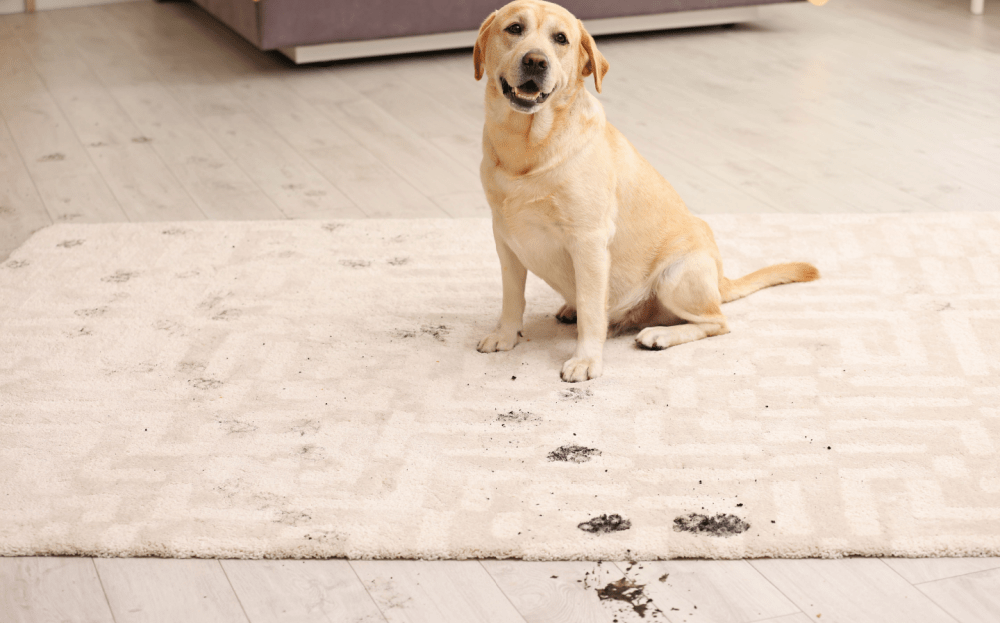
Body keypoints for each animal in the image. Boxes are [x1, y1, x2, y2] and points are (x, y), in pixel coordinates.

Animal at [476, 0, 820, 382]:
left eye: (560, 39)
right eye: (515, 29)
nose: (536, 61)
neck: (526, 149)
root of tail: (721, 281)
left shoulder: (589, 241)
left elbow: (593, 314)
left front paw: (586, 360)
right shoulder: (505, 238)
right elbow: (512, 299)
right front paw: (505, 336)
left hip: (676, 276)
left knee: (717, 322)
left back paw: (659, 334)